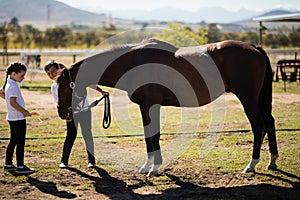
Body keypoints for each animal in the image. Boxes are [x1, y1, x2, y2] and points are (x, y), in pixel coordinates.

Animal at [56, 38, 278, 175]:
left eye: (64, 87)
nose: (62, 113)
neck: (134, 63)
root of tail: (255, 47)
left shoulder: (151, 105)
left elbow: (154, 135)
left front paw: (154, 168)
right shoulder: (145, 106)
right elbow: (149, 135)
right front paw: (147, 166)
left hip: (248, 99)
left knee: (258, 126)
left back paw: (251, 165)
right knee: (269, 121)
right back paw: (272, 161)